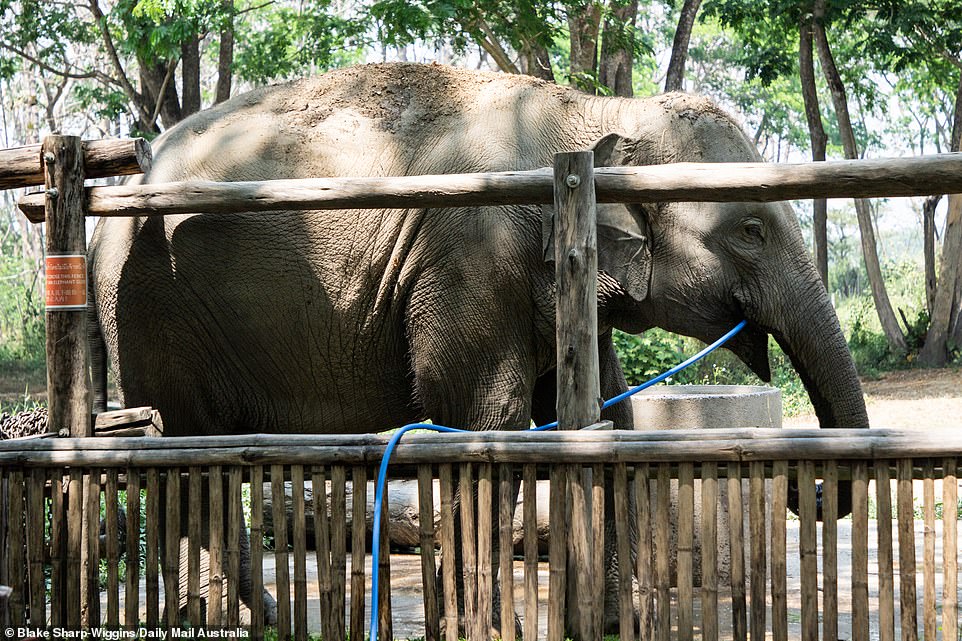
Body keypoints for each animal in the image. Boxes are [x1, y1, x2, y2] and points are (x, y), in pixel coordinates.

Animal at [87, 62, 869, 632]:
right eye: (751, 231)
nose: (805, 485)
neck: (595, 113)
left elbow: (610, 420)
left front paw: (611, 623)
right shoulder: (474, 256)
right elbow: (490, 421)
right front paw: (487, 628)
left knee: (204, 459)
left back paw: (237, 617)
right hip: (150, 307)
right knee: (185, 452)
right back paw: (235, 618)